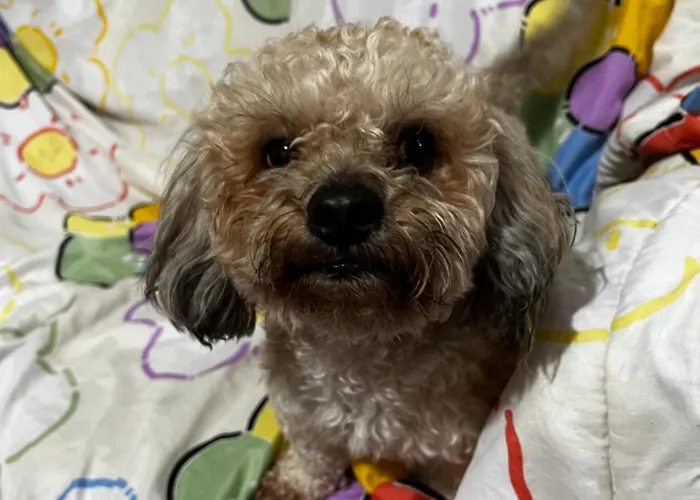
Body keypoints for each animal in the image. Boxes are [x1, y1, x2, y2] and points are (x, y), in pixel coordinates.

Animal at [145, 2, 598, 497]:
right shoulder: (308, 421)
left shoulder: (453, 449)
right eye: (277, 150)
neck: (358, 352)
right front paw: (293, 483)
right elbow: (313, 454)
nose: (343, 210)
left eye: (419, 144)